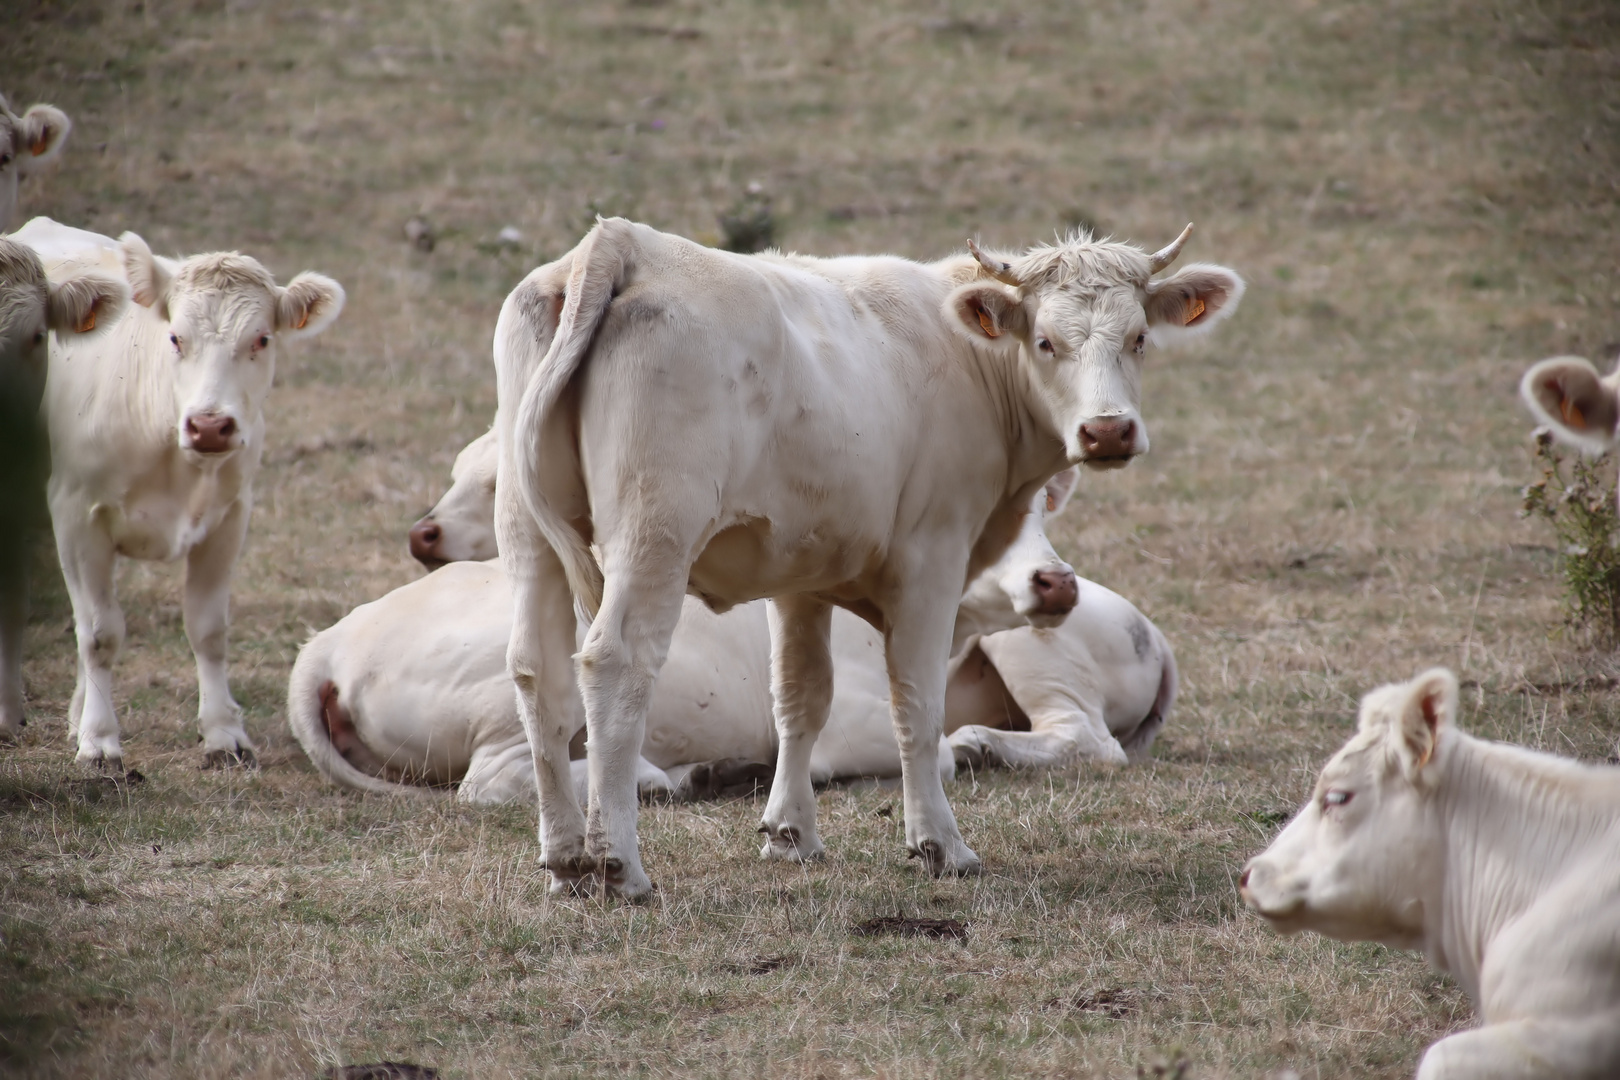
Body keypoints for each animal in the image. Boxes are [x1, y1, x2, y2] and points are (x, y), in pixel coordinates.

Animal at [492, 216, 1237, 893]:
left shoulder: (800, 572)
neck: (972, 362)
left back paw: (565, 859)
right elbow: (918, 706)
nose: (1108, 431)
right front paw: (939, 844)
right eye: (1047, 341)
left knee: (536, 670)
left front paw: (790, 834)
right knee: (613, 663)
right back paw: (618, 863)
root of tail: (621, 241)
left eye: (1140, 338)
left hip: (528, 535)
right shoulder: (933, 559)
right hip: (655, 532)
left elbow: (800, 699)